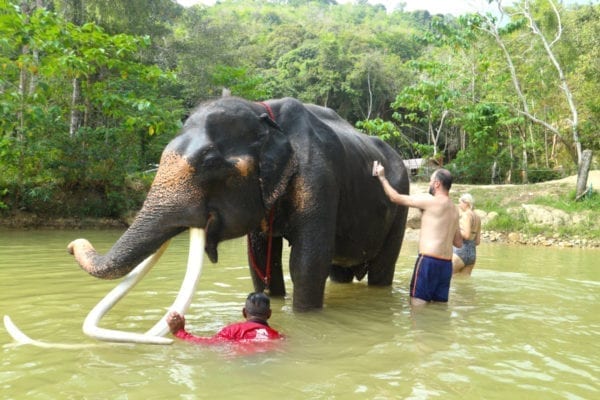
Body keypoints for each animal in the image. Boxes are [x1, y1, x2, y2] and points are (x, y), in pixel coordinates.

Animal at [68, 96, 410, 316]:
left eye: (209, 163)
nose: (73, 244)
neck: (264, 114)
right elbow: (259, 261)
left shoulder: (319, 177)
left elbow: (308, 262)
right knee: (340, 272)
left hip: (401, 200)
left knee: (381, 269)